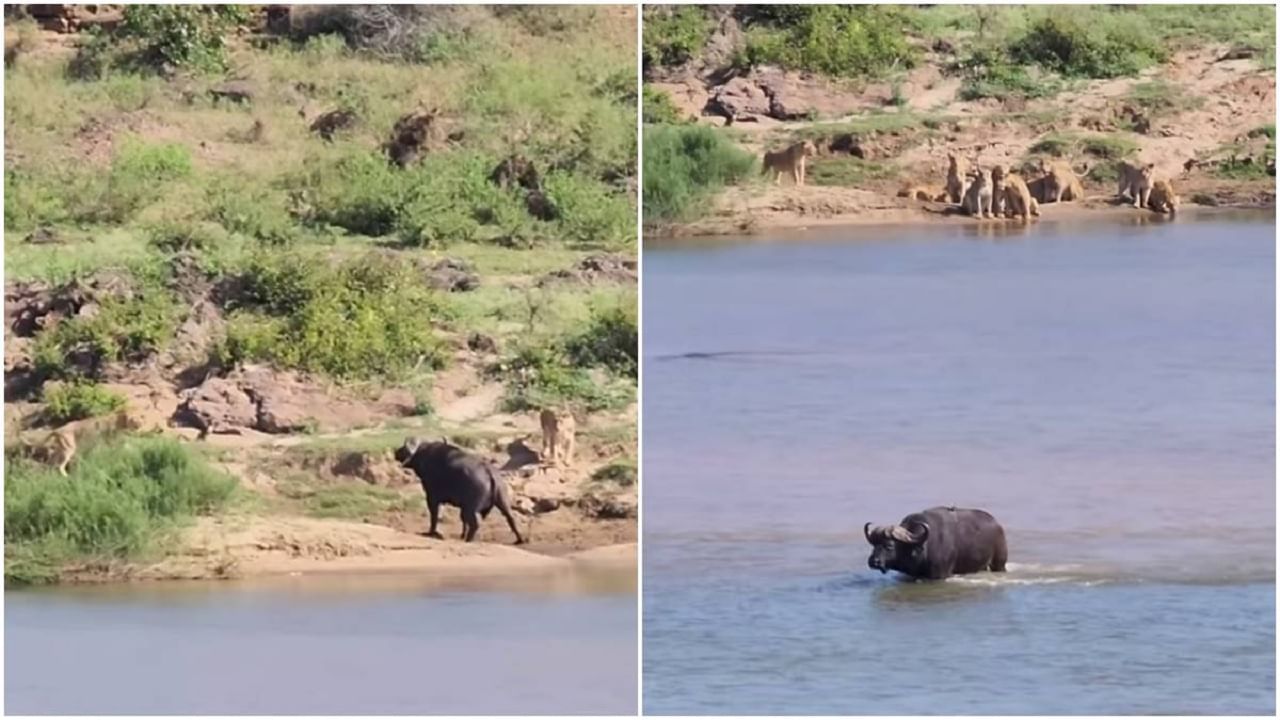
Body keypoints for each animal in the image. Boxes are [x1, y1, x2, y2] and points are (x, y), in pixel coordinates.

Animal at [394, 435, 524, 540]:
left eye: (404, 448)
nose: (396, 452)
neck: (424, 455)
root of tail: (489, 472)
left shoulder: (432, 498)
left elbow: (434, 516)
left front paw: (431, 532)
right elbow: (460, 520)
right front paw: (462, 534)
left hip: (471, 508)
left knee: (476, 523)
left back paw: (469, 540)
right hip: (502, 501)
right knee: (511, 518)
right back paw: (519, 539)